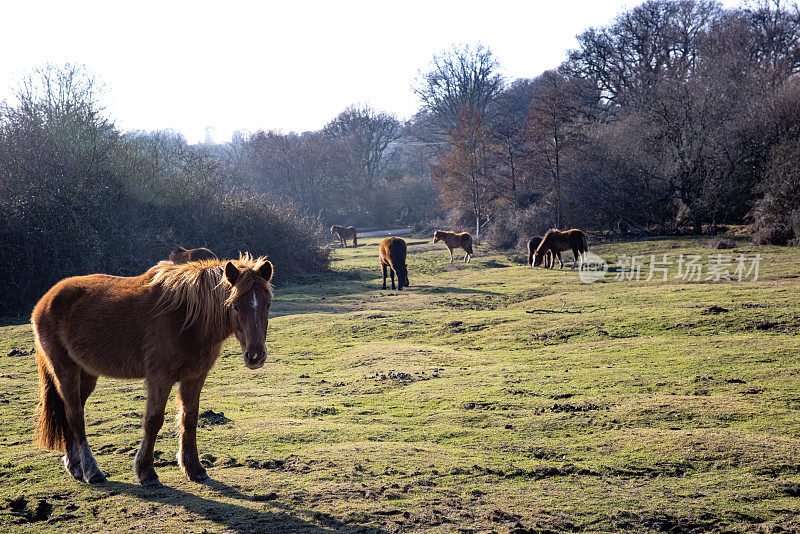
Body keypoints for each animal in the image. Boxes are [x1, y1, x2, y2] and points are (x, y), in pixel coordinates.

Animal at [32, 253, 276, 488]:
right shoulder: (160, 378)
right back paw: (92, 471)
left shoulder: (195, 377)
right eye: (234, 305)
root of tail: (45, 300)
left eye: (267, 305)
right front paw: (146, 473)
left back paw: (74, 465)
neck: (186, 319)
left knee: (69, 413)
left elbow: (190, 418)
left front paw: (194, 468)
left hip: (86, 375)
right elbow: (153, 421)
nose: (255, 355)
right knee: (75, 416)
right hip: (65, 371)